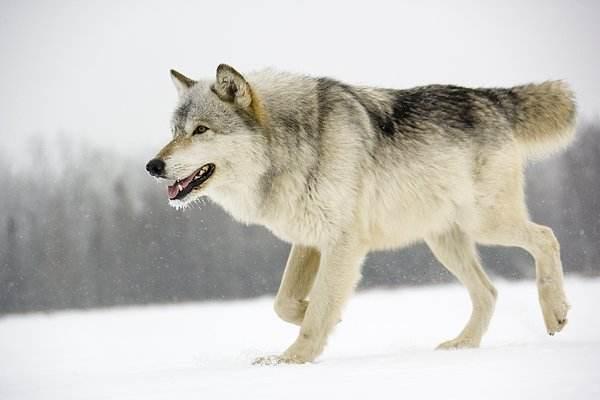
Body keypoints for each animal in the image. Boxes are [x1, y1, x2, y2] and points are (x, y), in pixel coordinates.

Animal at [145, 64, 576, 364]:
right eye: (174, 131)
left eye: (201, 130)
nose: (152, 166)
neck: (293, 145)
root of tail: (490, 98)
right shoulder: (309, 241)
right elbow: (284, 303)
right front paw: (319, 322)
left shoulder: (342, 244)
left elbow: (318, 306)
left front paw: (291, 360)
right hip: (443, 241)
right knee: (489, 291)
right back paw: (462, 344)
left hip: (485, 224)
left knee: (547, 236)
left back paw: (555, 314)